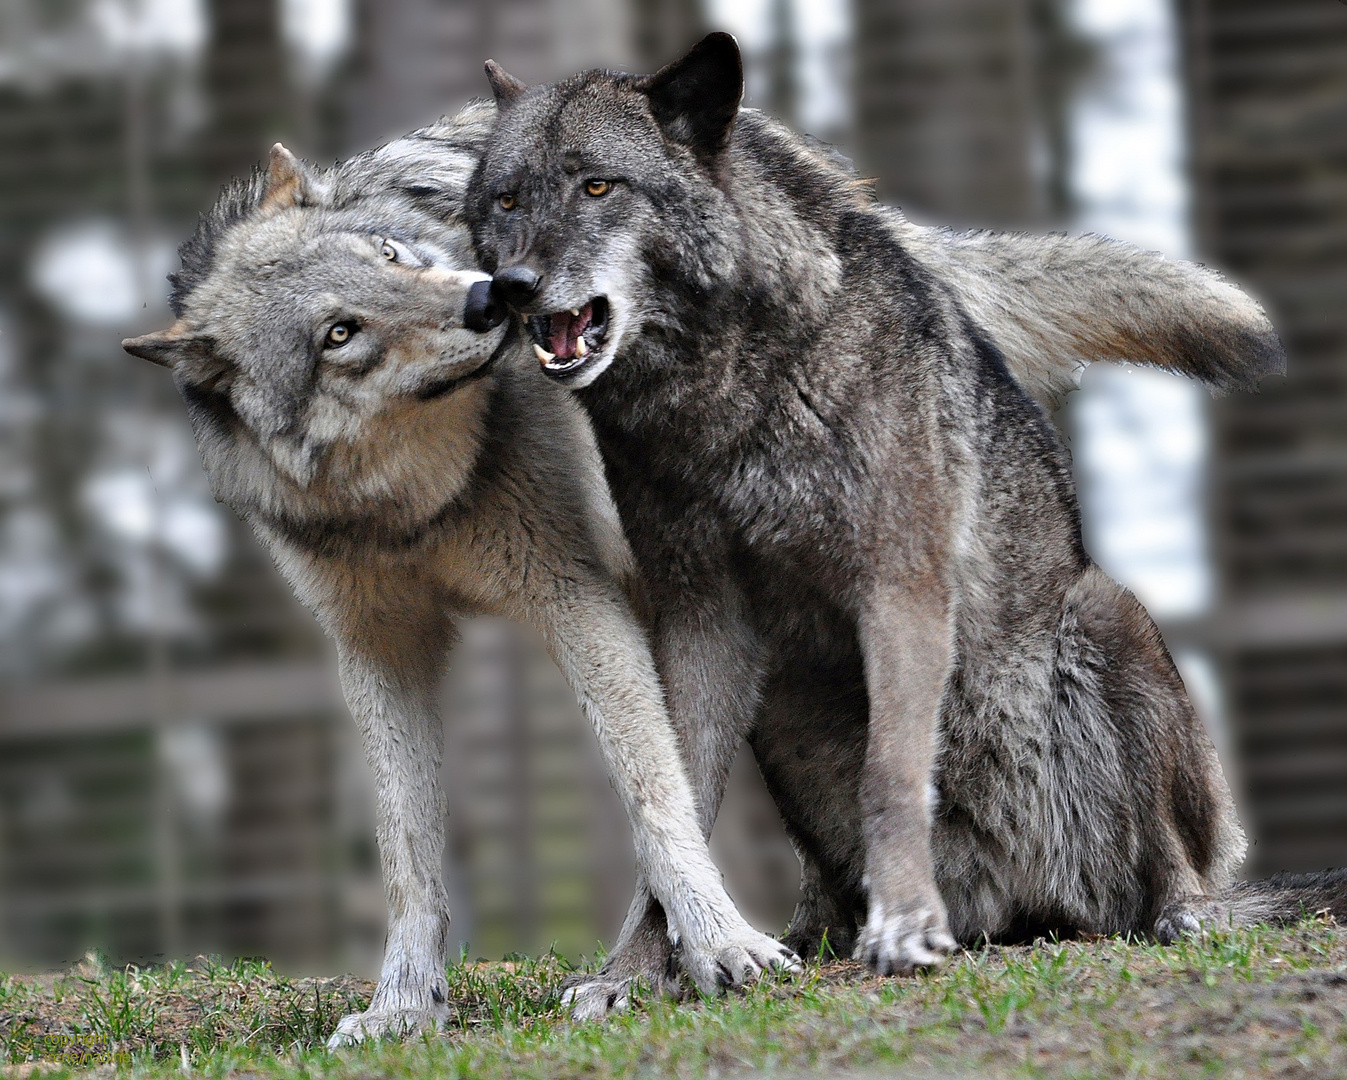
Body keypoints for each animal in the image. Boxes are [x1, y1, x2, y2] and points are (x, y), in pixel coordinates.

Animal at [118, 100, 797, 1044]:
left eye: (390, 255)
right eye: (339, 334)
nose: (490, 296)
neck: (414, 510)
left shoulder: (573, 600)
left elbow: (656, 805)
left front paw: (723, 943)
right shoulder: (380, 651)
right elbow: (406, 858)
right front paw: (403, 1004)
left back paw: (647, 970)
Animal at [463, 33, 1336, 1007]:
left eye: (597, 186)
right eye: (505, 200)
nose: (512, 287)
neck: (727, 395)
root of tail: (1026, 908)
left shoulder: (900, 582)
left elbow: (891, 777)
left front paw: (905, 923)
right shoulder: (699, 619)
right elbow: (674, 807)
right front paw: (632, 975)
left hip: (1108, 618)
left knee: (1182, 870)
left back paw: (1180, 913)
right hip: (780, 714)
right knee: (822, 883)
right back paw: (820, 935)